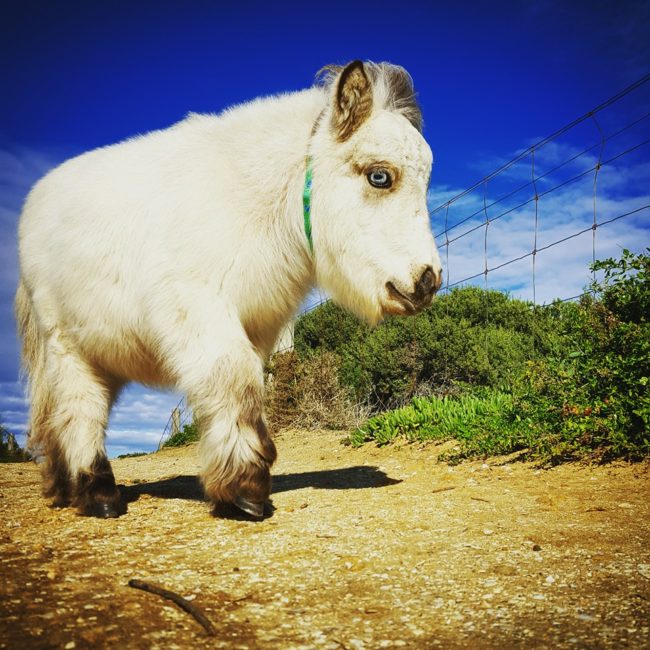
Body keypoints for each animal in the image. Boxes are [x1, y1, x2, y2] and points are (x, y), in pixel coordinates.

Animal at [15, 60, 440, 516]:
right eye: (380, 176)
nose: (428, 281)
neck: (254, 206)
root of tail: (35, 201)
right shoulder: (200, 311)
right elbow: (236, 381)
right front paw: (245, 490)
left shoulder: (259, 328)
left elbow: (248, 388)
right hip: (66, 345)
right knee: (81, 408)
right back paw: (98, 493)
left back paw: (67, 489)